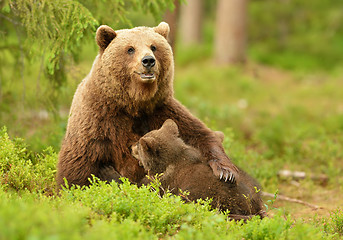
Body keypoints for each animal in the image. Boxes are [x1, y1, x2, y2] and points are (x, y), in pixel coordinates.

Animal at [56, 22, 239, 189]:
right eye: (130, 49)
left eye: (154, 46)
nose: (148, 60)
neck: (134, 103)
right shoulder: (99, 118)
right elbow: (79, 161)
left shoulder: (161, 110)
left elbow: (199, 135)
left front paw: (226, 172)